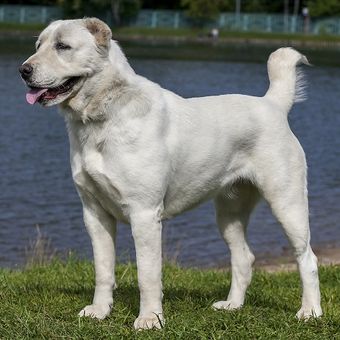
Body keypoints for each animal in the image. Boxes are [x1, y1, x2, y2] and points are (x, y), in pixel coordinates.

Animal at [19, 17, 322, 328]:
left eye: (63, 46)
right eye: (38, 45)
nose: (23, 70)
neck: (104, 116)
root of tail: (272, 104)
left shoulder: (144, 214)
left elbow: (147, 275)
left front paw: (150, 319)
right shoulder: (94, 213)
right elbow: (103, 270)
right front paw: (100, 311)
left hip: (287, 202)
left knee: (307, 258)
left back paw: (310, 312)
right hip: (229, 212)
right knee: (244, 257)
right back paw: (233, 305)